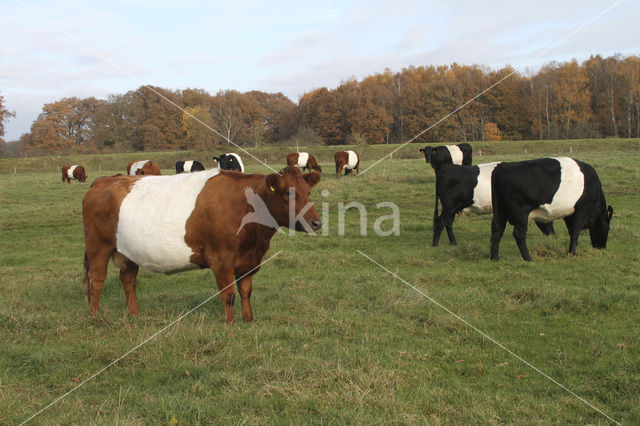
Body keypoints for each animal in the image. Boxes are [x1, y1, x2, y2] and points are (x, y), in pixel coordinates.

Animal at [82, 166, 322, 322]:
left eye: (308, 191)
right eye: (288, 192)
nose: (317, 222)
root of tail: (103, 180)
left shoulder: (248, 260)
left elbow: (245, 290)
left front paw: (248, 319)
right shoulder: (222, 259)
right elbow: (229, 295)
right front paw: (230, 324)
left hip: (129, 250)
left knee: (128, 279)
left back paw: (134, 314)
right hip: (98, 247)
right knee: (96, 279)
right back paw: (94, 315)